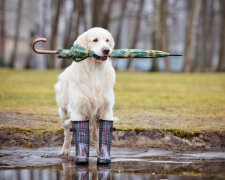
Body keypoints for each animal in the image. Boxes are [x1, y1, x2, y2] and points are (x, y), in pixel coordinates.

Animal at [53, 27, 115, 156]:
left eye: (107, 40)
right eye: (95, 40)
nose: (106, 50)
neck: (95, 70)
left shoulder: (106, 109)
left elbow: (100, 135)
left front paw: (102, 155)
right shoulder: (78, 109)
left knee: (95, 134)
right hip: (63, 113)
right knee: (67, 132)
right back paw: (65, 150)